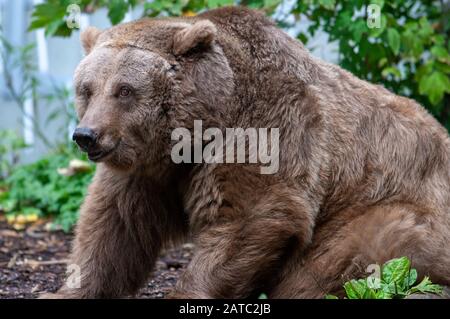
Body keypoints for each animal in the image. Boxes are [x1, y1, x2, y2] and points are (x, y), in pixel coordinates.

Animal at [46, 6, 450, 298]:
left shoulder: (270, 127)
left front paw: (187, 292)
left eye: (124, 90)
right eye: (87, 88)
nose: (86, 135)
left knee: (348, 254)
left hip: (386, 203)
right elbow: (114, 225)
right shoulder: (147, 169)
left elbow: (251, 214)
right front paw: (70, 290)